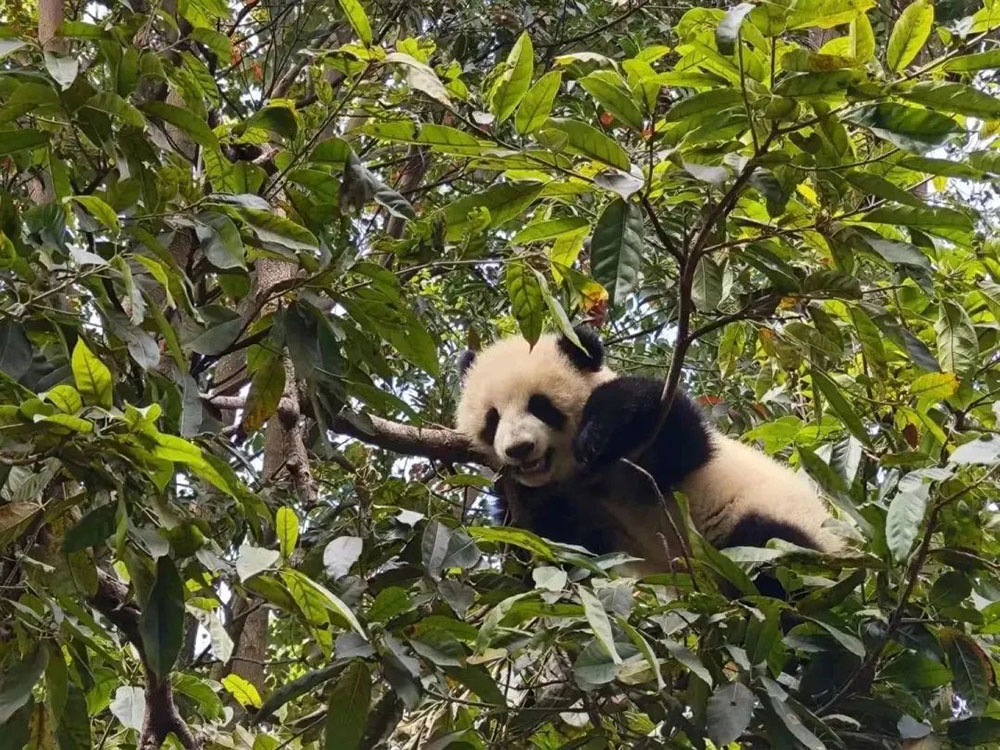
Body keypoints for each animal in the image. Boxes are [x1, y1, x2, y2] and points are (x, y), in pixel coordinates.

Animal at [458, 326, 840, 580]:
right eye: (493, 418)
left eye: (540, 406)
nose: (519, 449)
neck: (582, 480)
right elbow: (545, 544)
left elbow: (676, 436)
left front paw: (598, 431)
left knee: (770, 546)